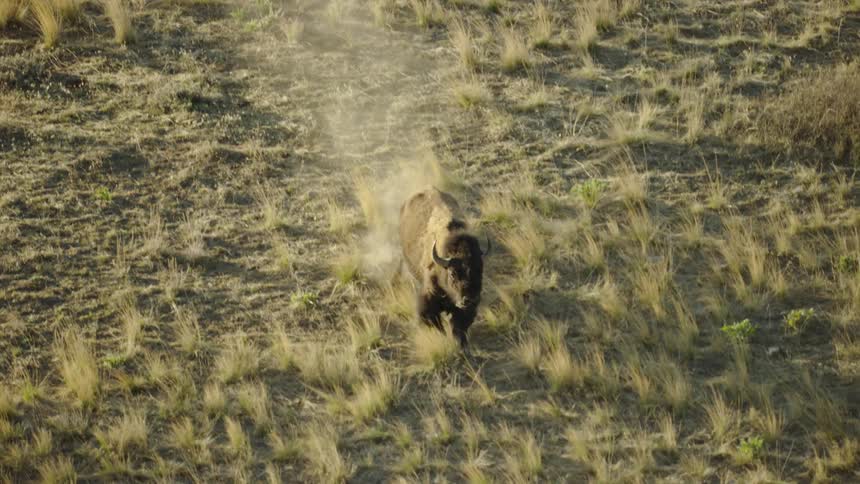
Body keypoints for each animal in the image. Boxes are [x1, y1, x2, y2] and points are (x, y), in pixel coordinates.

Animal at [399, 187, 489, 348]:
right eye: (453, 273)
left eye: (480, 270)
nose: (468, 300)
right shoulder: (428, 300)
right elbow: (435, 323)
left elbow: (459, 327)